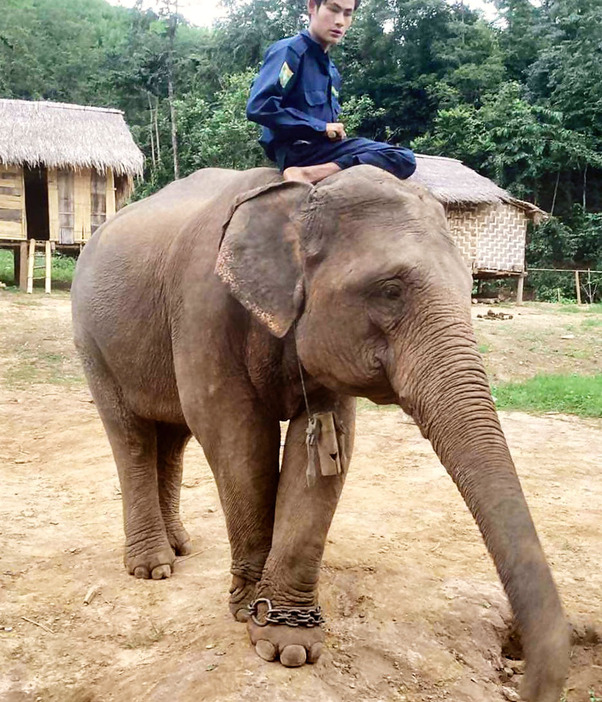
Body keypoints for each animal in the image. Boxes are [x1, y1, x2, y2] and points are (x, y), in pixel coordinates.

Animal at [70, 166, 568, 702]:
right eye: (390, 290)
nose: (521, 677)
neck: (298, 196)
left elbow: (329, 447)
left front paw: (288, 641)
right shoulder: (202, 309)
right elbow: (238, 437)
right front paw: (251, 613)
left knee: (173, 436)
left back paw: (181, 546)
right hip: (91, 339)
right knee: (132, 435)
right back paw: (153, 567)